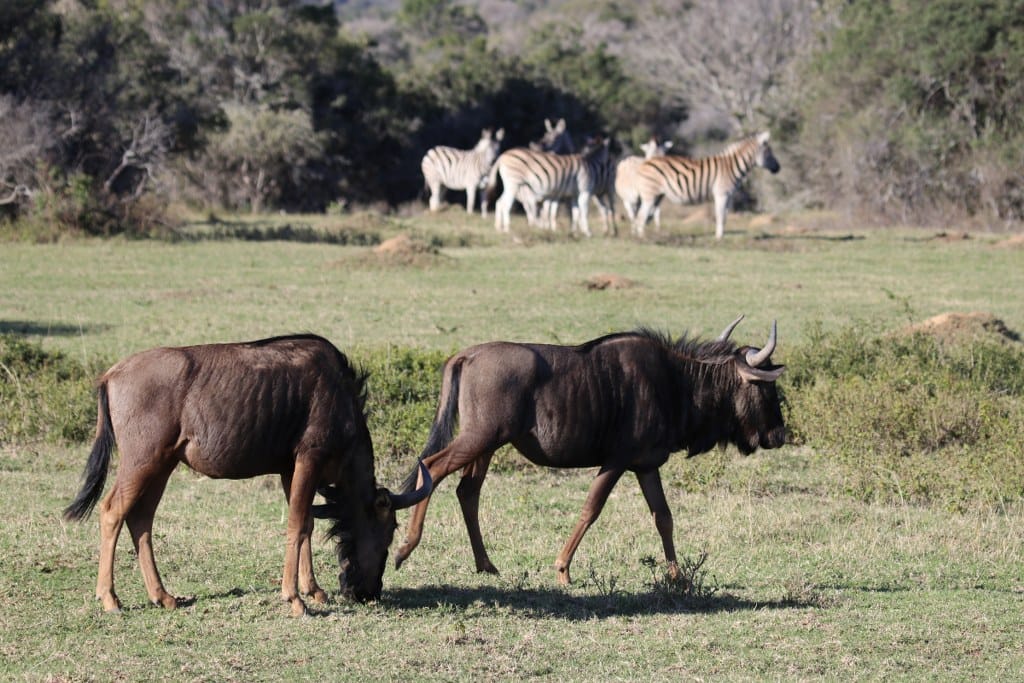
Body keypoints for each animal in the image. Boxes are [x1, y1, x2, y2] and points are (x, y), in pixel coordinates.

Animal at [632, 131, 780, 239]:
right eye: (768, 152)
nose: (778, 168)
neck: (731, 166)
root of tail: (648, 160)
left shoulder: (729, 196)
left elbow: (725, 216)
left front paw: (722, 235)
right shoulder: (721, 193)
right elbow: (720, 215)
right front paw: (719, 238)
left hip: (657, 195)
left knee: (645, 216)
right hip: (650, 194)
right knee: (641, 216)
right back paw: (642, 238)